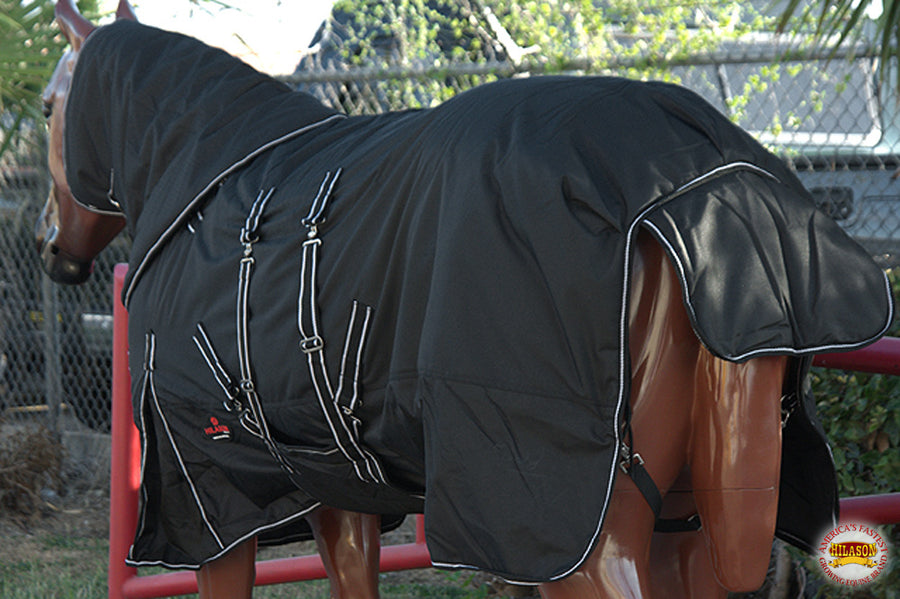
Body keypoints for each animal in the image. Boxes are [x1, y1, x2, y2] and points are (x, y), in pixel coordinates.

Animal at [37, 2, 892, 597]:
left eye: (47, 106)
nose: (51, 246)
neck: (206, 175)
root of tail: (706, 185)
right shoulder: (336, 487)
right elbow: (354, 574)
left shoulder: (209, 504)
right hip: (686, 519)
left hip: (578, 531)